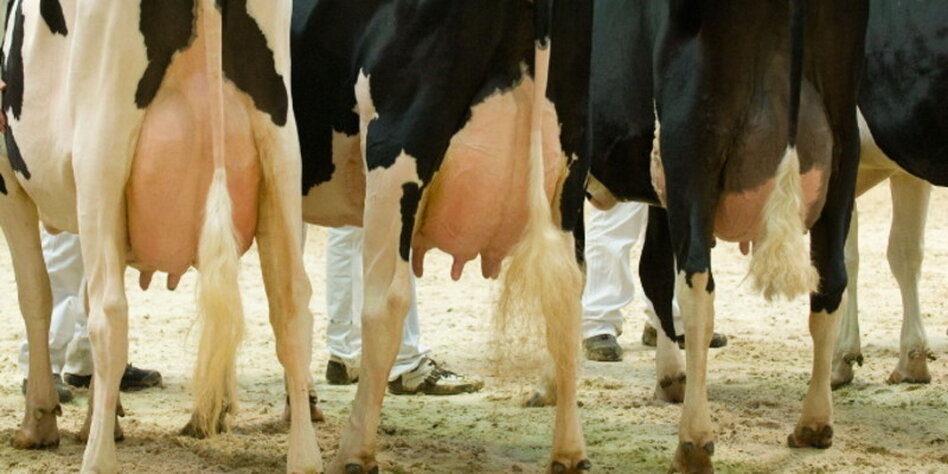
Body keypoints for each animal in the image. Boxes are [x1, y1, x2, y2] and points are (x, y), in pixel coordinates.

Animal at [0, 1, 318, 472]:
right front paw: (99, 415)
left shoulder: (8, 179)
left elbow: (36, 295)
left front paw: (40, 421)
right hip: (280, 154)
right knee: (292, 308)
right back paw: (305, 457)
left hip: (101, 159)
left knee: (110, 317)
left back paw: (97, 459)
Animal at [290, 0, 593, 472]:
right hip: (569, 169)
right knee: (566, 296)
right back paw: (569, 451)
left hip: (396, 148)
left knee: (387, 301)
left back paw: (354, 451)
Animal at [585, 1, 869, 471]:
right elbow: (653, 270)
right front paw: (670, 376)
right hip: (844, 148)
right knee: (830, 282)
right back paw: (813, 424)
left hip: (691, 142)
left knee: (698, 283)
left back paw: (694, 442)